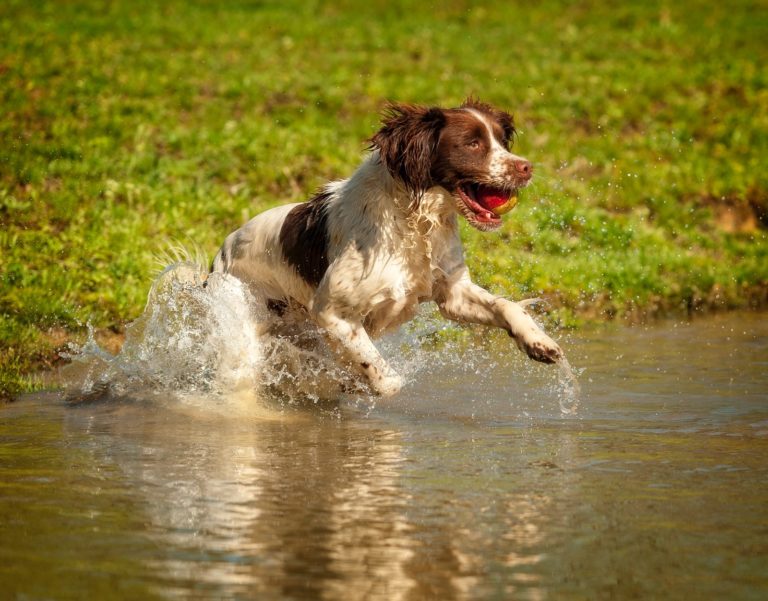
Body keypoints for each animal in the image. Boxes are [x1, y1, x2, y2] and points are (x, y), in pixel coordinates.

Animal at [212, 99, 564, 396]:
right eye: (472, 143)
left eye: (502, 142)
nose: (526, 167)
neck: (412, 222)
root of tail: (220, 255)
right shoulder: (331, 311)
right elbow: (385, 378)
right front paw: (341, 381)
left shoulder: (453, 293)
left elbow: (507, 306)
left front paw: (538, 342)